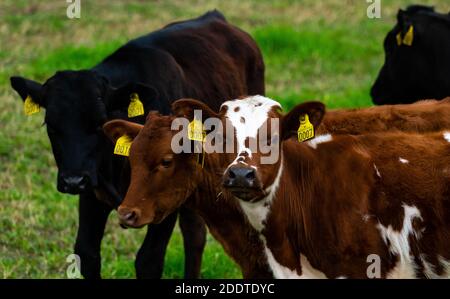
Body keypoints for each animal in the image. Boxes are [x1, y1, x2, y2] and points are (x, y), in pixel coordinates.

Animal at [9, 10, 264, 280]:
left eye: (100, 122)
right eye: (51, 126)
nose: (73, 181)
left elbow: (148, 259)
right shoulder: (92, 192)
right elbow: (87, 253)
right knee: (194, 231)